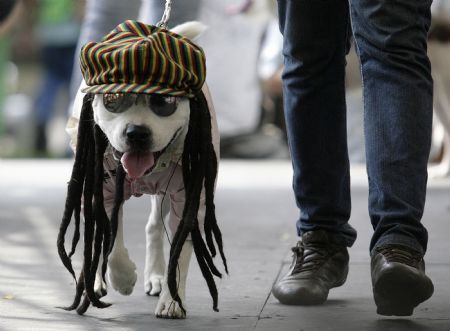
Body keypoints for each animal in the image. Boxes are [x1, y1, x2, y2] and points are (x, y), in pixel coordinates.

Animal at [59, 20, 227, 320]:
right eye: (113, 98)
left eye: (164, 103)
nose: (136, 132)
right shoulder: (102, 192)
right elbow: (110, 240)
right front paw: (123, 278)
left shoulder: (189, 201)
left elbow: (179, 252)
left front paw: (172, 301)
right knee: (97, 237)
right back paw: (97, 281)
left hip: (165, 196)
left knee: (153, 226)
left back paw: (156, 277)